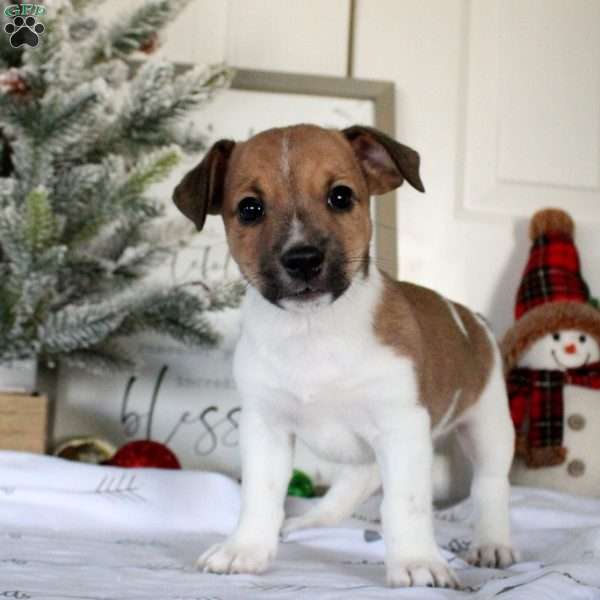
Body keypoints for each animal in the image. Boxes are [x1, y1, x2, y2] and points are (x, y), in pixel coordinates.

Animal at [172, 124, 516, 588]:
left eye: (340, 196)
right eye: (249, 208)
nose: (302, 259)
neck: (313, 332)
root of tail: (471, 318)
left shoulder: (401, 428)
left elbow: (406, 504)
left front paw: (416, 562)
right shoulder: (266, 428)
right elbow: (260, 495)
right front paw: (246, 548)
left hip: (489, 427)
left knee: (491, 486)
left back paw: (492, 543)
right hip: (364, 455)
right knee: (348, 489)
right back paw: (305, 522)